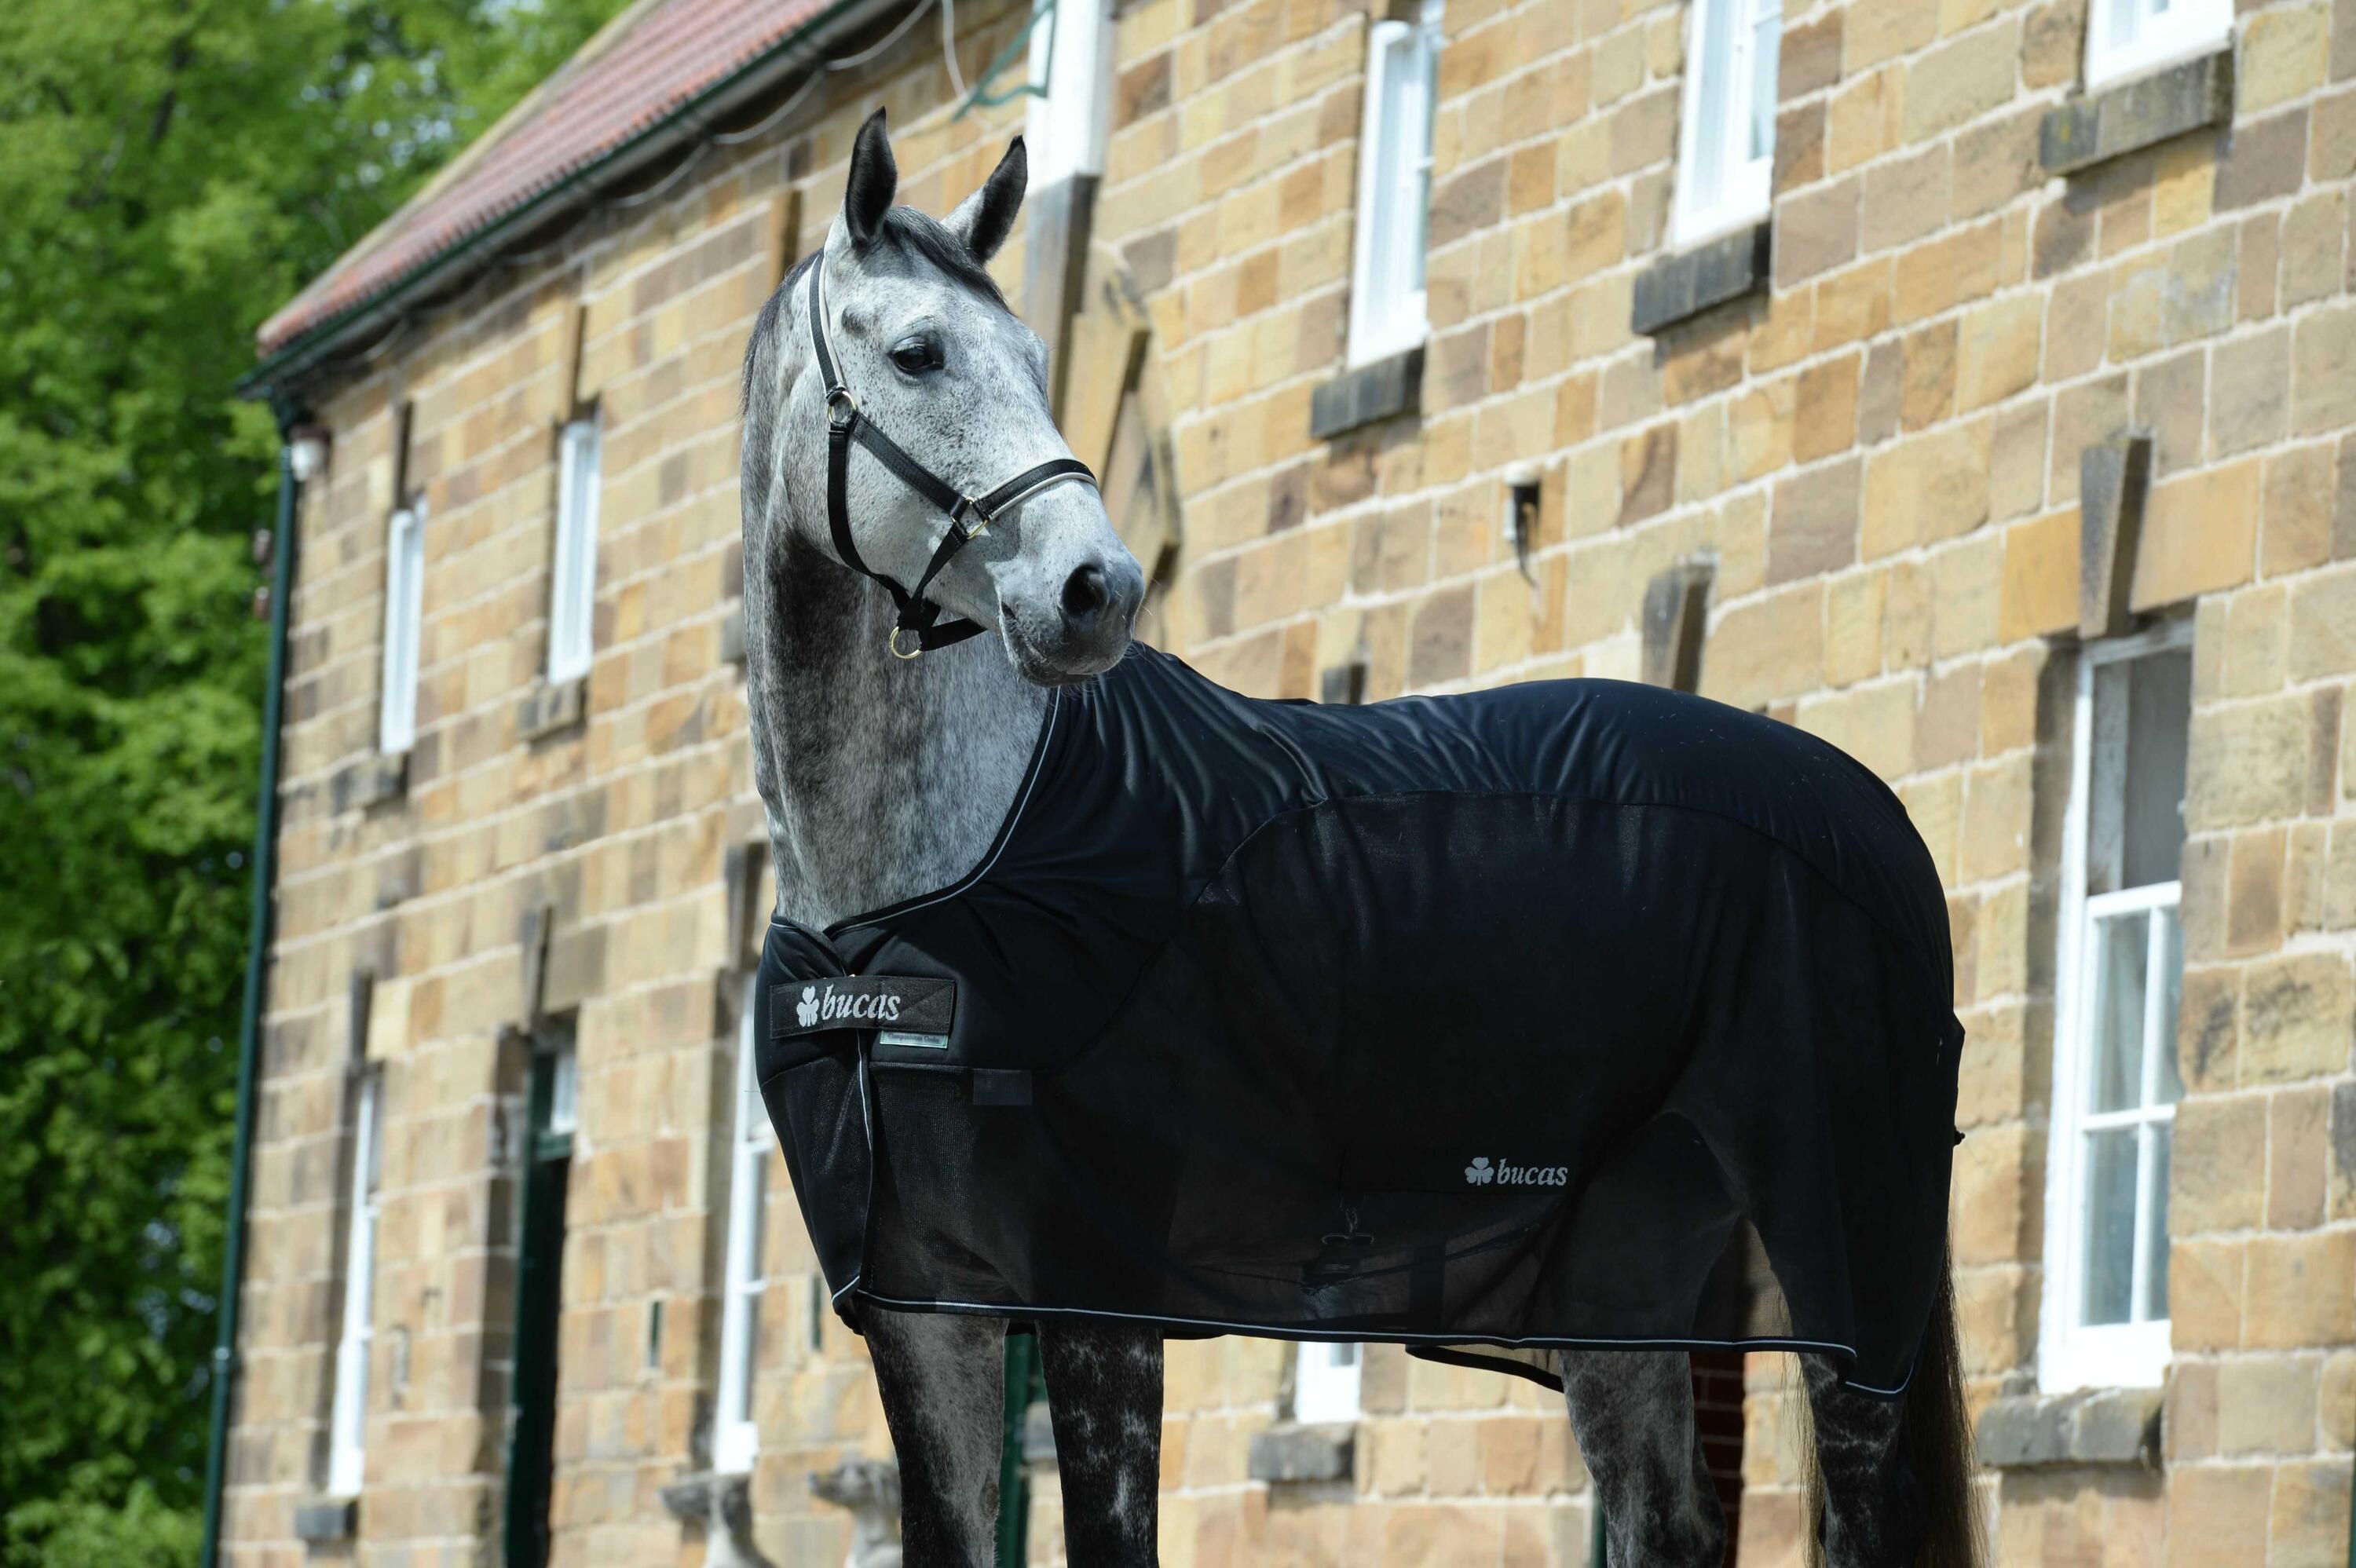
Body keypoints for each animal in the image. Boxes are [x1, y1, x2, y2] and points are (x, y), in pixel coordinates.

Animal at [737, 106, 1980, 1568]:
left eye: (1040, 363)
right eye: (918, 353)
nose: (1096, 589)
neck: (944, 882)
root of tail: (1874, 815)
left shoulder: (1101, 1302)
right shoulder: (926, 1319)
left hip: (1847, 1285)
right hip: (1626, 1289)